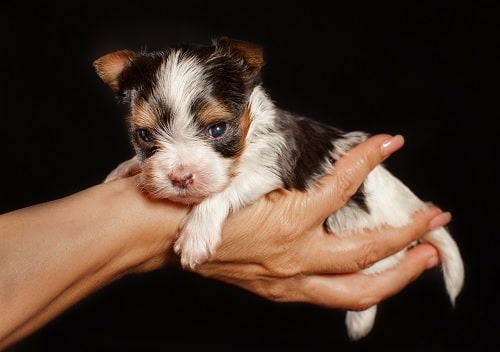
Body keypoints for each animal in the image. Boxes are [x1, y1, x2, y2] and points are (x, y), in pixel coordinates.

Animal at [94, 36, 464, 340]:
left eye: (218, 129)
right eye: (144, 135)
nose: (181, 178)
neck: (249, 135)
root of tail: (412, 207)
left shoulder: (269, 168)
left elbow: (228, 189)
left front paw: (197, 233)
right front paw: (127, 167)